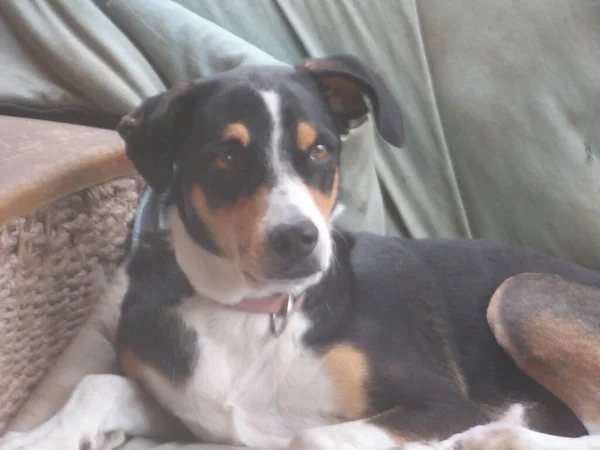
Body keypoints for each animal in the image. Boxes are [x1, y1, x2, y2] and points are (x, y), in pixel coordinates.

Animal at [3, 53, 600, 450]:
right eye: (225, 156)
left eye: (319, 151)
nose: (297, 239)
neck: (254, 312)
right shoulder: (182, 410)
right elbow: (95, 383)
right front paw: (38, 437)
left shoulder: (442, 403)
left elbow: (310, 437)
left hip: (520, 294)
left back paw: (496, 434)